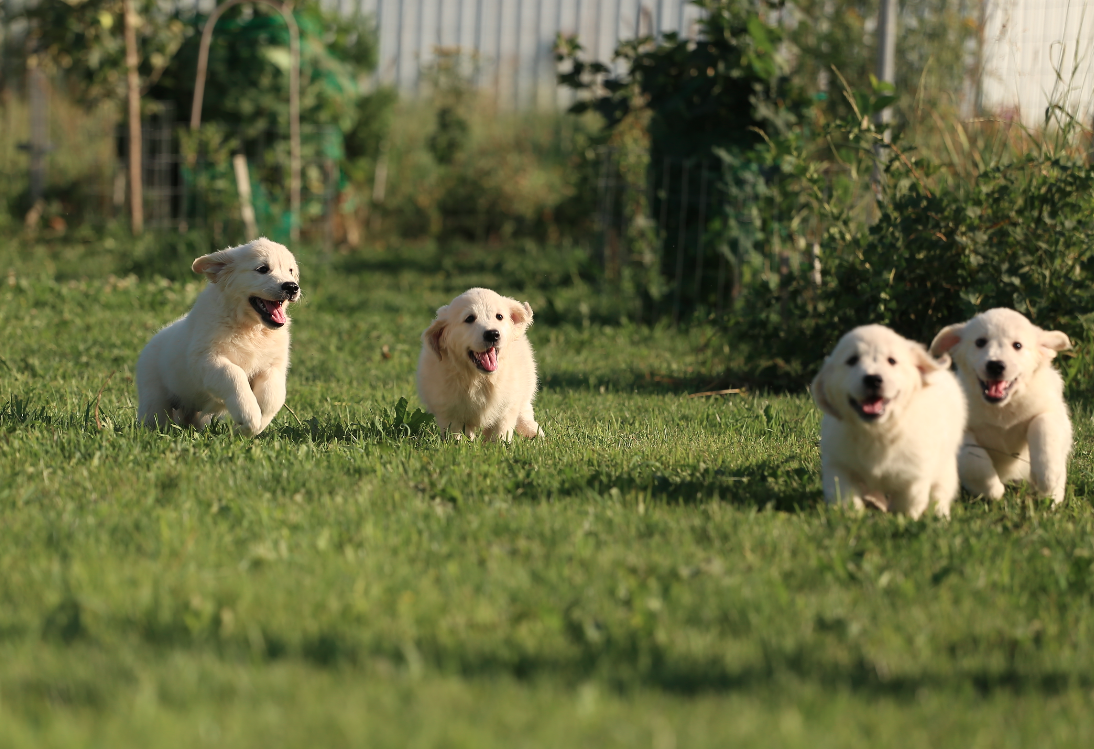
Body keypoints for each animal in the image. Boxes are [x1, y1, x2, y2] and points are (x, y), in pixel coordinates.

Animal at [134, 236, 301, 435]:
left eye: (291, 271)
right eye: (262, 269)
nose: (292, 287)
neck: (250, 328)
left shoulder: (273, 365)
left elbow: (273, 396)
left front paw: (254, 426)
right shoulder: (206, 359)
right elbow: (234, 374)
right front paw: (249, 415)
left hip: (198, 413)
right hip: (153, 394)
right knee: (154, 416)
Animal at [415, 284, 540, 437]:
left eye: (499, 316)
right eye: (469, 318)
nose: (493, 334)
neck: (479, 378)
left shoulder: (507, 405)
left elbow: (500, 432)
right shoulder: (447, 410)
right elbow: (455, 433)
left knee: (525, 408)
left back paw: (533, 431)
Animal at [813, 323, 967, 516]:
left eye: (892, 361)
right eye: (852, 360)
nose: (873, 379)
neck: (877, 432)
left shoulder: (915, 472)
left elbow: (908, 502)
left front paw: (903, 517)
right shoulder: (839, 464)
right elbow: (844, 494)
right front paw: (850, 514)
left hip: (945, 465)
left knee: (941, 491)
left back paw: (939, 513)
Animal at [927, 306, 1072, 505]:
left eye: (1017, 345)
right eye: (980, 342)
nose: (995, 366)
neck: (1001, 410)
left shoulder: (1052, 412)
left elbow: (1044, 429)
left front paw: (1046, 476)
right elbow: (972, 459)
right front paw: (992, 490)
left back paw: (1050, 499)